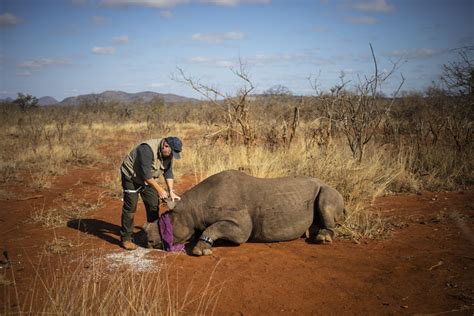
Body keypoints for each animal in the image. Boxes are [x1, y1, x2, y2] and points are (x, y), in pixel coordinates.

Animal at [143, 169, 344, 256]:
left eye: (166, 223)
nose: (148, 242)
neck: (191, 206)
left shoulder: (240, 224)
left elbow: (215, 228)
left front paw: (200, 250)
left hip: (327, 189)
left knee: (326, 201)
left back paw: (322, 239)